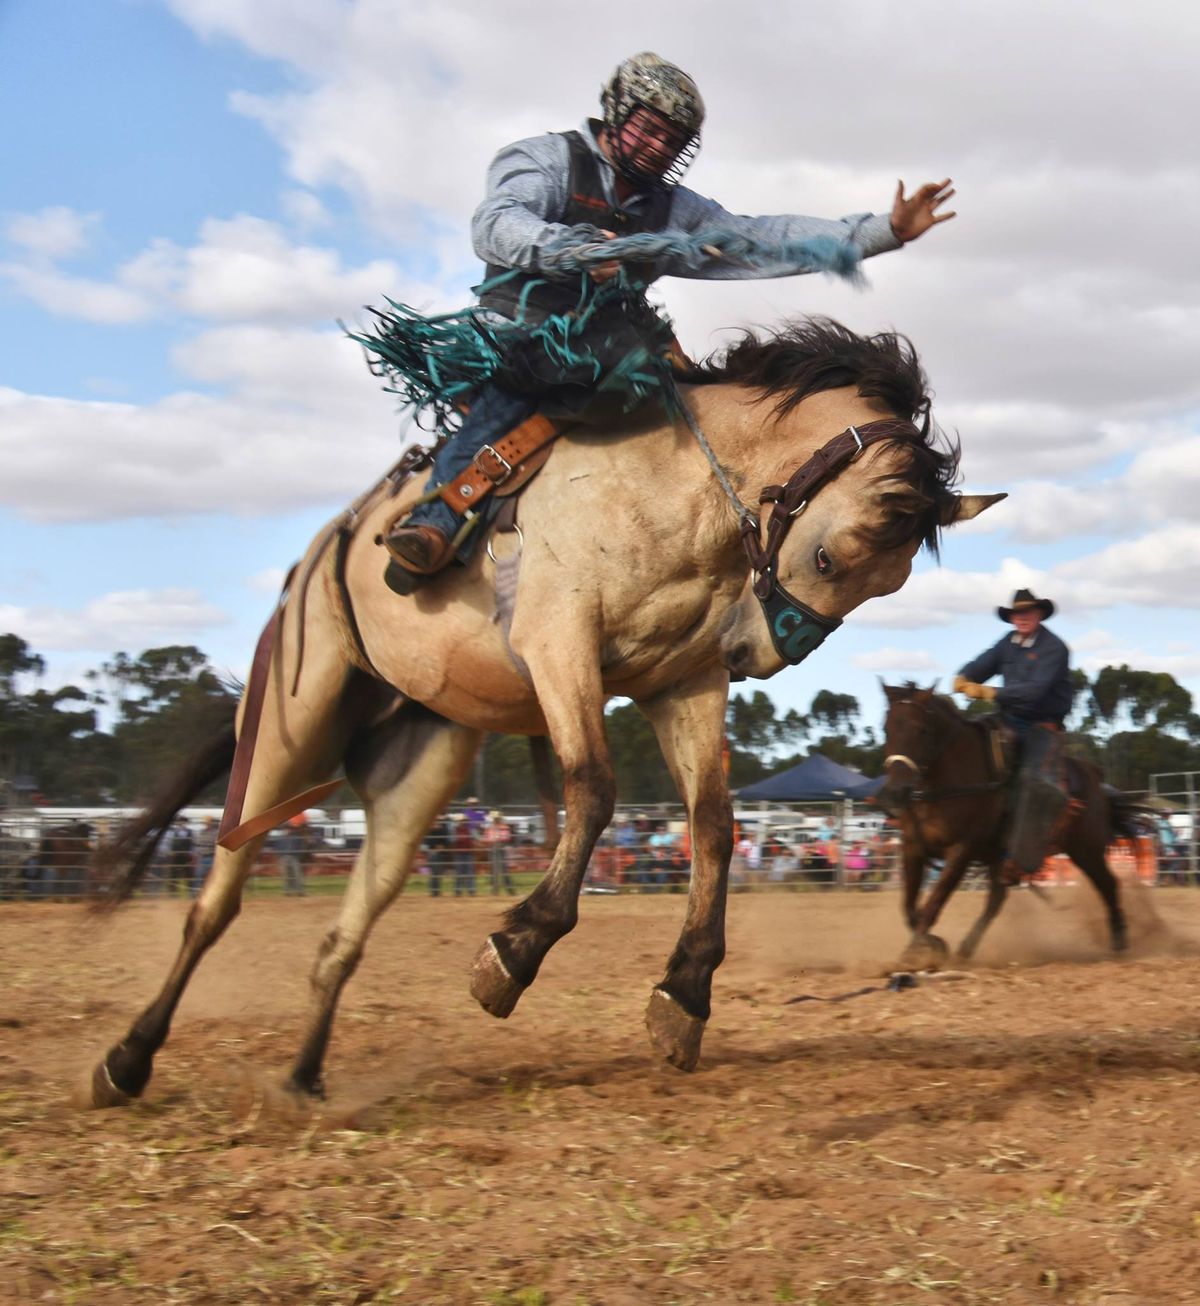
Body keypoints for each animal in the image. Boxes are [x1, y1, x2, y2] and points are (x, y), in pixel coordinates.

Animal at [86, 321, 1002, 1107]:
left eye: (887, 584)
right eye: (829, 557)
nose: (754, 654)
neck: (677, 491)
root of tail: (323, 549)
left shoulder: (684, 683)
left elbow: (712, 824)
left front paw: (684, 995)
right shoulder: (560, 641)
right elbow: (592, 789)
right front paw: (515, 950)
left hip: (419, 768)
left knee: (345, 932)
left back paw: (303, 1078)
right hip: (291, 720)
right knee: (216, 902)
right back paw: (126, 1060)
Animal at [877, 684, 1149, 971]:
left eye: (922, 730)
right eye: (887, 729)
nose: (893, 794)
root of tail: (1094, 776)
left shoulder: (961, 851)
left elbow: (934, 902)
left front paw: (914, 954)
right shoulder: (913, 847)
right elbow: (909, 906)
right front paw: (931, 944)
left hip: (1087, 850)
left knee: (1108, 885)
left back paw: (1119, 943)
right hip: (1004, 858)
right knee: (995, 901)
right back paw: (964, 950)